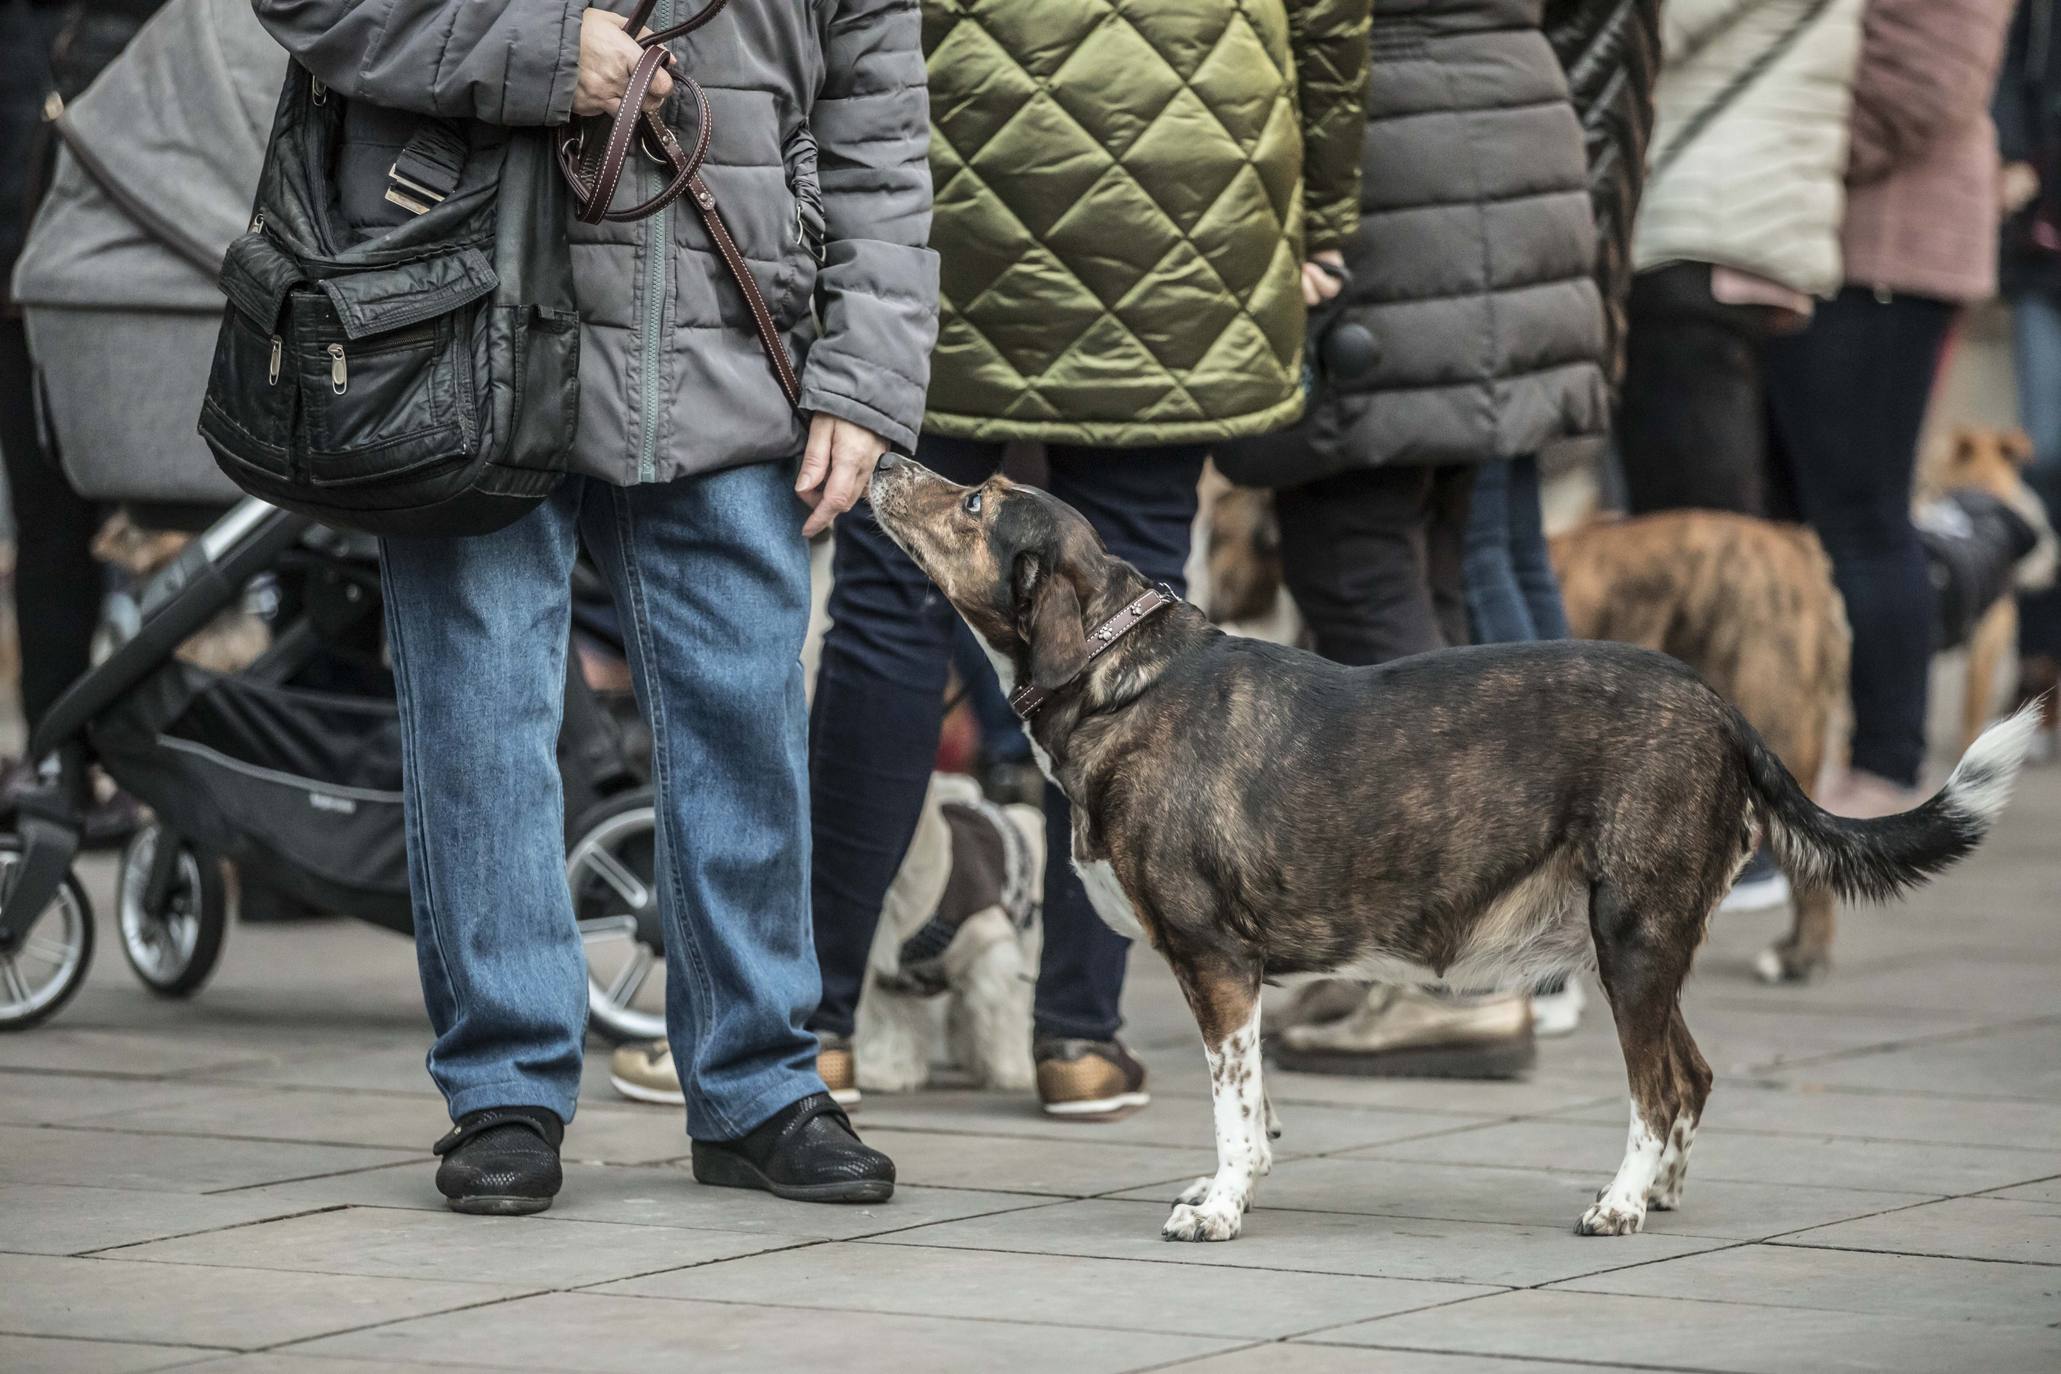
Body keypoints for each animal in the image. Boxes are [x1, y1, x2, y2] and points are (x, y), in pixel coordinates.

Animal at [869, 457, 2044, 1244]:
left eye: (975, 502)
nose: (882, 459)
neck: (1127, 681)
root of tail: (1720, 708)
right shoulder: (1234, 980)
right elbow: (1255, 1107)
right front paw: (1228, 1190)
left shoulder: (1214, 961)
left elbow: (1233, 1113)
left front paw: (1222, 1208)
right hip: (1649, 943)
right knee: (1694, 1077)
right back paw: (1660, 1191)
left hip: (1631, 935)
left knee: (1661, 1084)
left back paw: (1620, 1202)